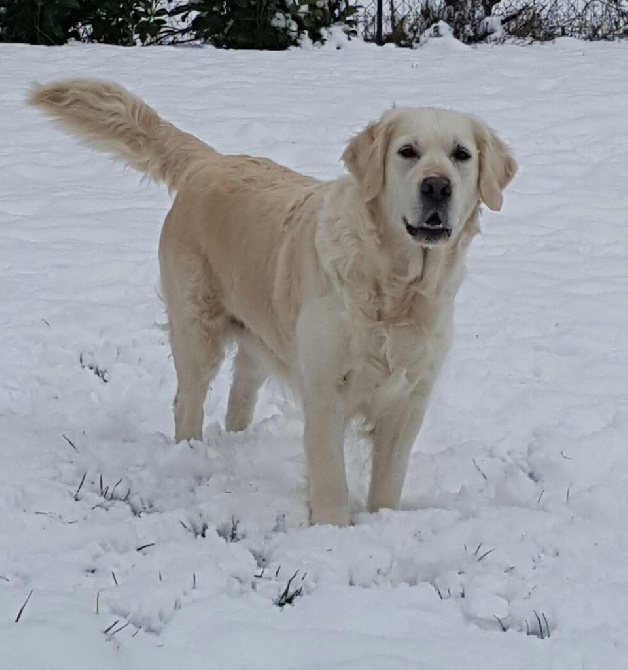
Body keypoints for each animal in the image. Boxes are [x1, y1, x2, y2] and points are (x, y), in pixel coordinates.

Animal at [28, 81, 516, 528]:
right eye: (407, 152)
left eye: (461, 154)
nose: (437, 187)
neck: (395, 289)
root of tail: (210, 161)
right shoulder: (326, 390)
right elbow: (330, 479)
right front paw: (333, 532)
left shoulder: (410, 397)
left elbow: (389, 481)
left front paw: (383, 522)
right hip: (197, 329)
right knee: (187, 401)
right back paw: (191, 455)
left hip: (259, 337)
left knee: (238, 396)